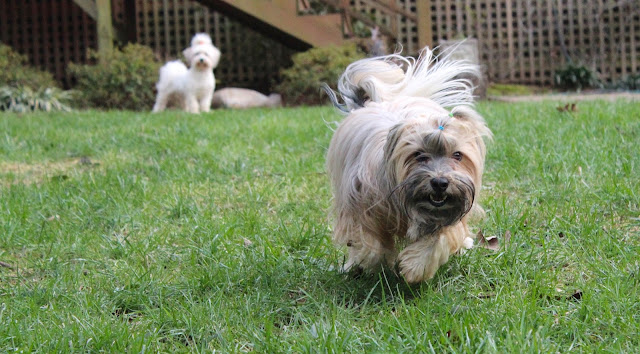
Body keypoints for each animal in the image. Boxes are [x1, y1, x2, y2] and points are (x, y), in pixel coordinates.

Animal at [324, 48, 490, 284]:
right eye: (418, 155)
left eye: (457, 155)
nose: (440, 183)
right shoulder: (358, 205)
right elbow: (369, 242)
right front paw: (373, 261)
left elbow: (439, 238)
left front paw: (415, 267)